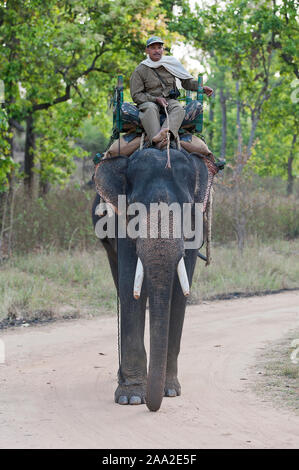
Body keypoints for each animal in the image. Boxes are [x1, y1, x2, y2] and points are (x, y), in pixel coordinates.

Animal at [92, 147, 216, 412]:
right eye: (135, 211)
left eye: (187, 210)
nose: (152, 406)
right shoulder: (121, 223)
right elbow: (129, 283)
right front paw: (131, 398)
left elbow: (181, 290)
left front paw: (170, 391)